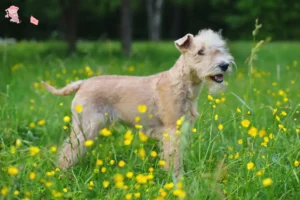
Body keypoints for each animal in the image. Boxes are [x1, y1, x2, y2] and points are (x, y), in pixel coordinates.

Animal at [42, 28, 234, 176]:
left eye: (220, 48)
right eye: (200, 52)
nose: (224, 65)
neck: (182, 83)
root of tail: (82, 83)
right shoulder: (172, 130)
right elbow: (173, 156)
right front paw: (176, 177)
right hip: (86, 126)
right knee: (69, 150)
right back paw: (63, 172)